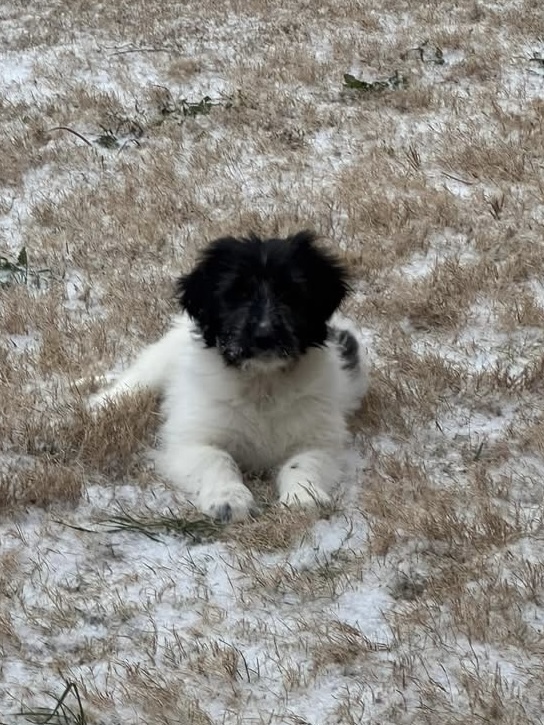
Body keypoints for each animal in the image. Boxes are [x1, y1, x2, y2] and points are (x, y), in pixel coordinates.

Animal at [92, 232, 370, 520]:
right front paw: (228, 500)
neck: (262, 383)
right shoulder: (193, 440)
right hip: (160, 361)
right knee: (135, 381)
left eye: (290, 293)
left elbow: (303, 462)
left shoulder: (321, 438)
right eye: (236, 295)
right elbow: (217, 460)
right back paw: (99, 406)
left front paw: (303, 498)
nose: (264, 336)